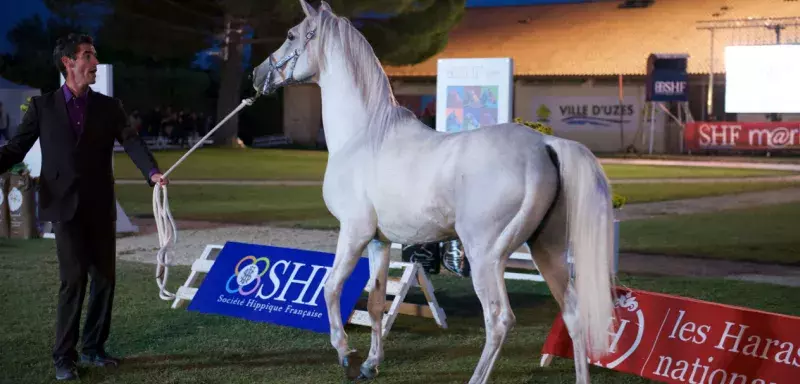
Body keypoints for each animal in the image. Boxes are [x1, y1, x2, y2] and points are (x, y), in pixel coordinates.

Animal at [252, 1, 620, 382]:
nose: (256, 74)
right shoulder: (378, 241)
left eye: (291, 34)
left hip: (486, 256)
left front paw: (346, 355)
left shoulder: (353, 232)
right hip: (547, 249)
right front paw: (370, 363)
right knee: (573, 313)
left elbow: (330, 287)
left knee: (499, 318)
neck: (364, 134)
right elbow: (376, 303)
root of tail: (545, 144)